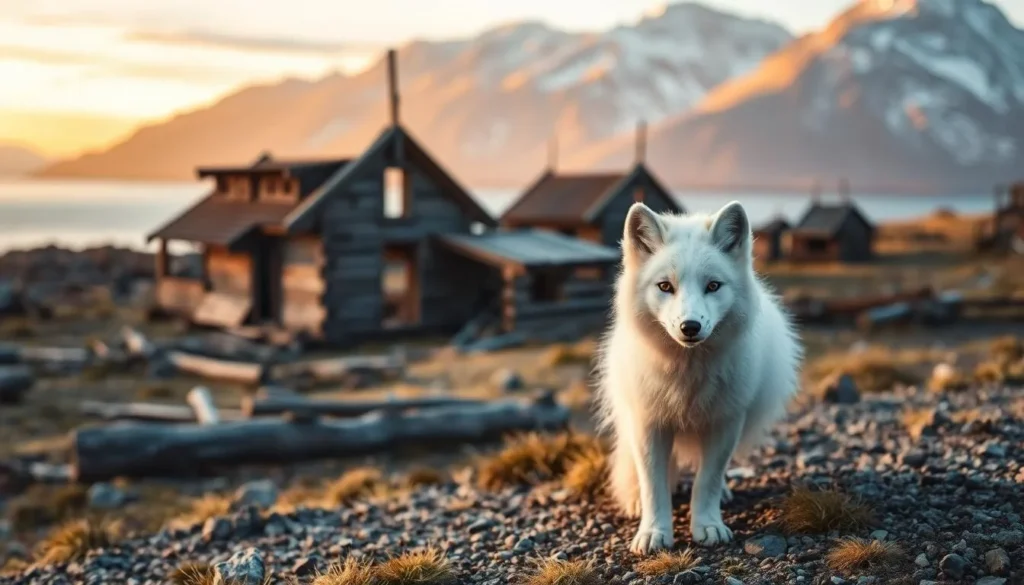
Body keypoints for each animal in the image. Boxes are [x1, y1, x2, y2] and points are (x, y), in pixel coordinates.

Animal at [594, 200, 803, 554]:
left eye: (713, 286)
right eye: (665, 286)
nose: (689, 326)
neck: (687, 373)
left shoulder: (726, 422)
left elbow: (708, 479)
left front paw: (707, 524)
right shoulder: (648, 424)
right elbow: (653, 484)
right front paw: (653, 531)